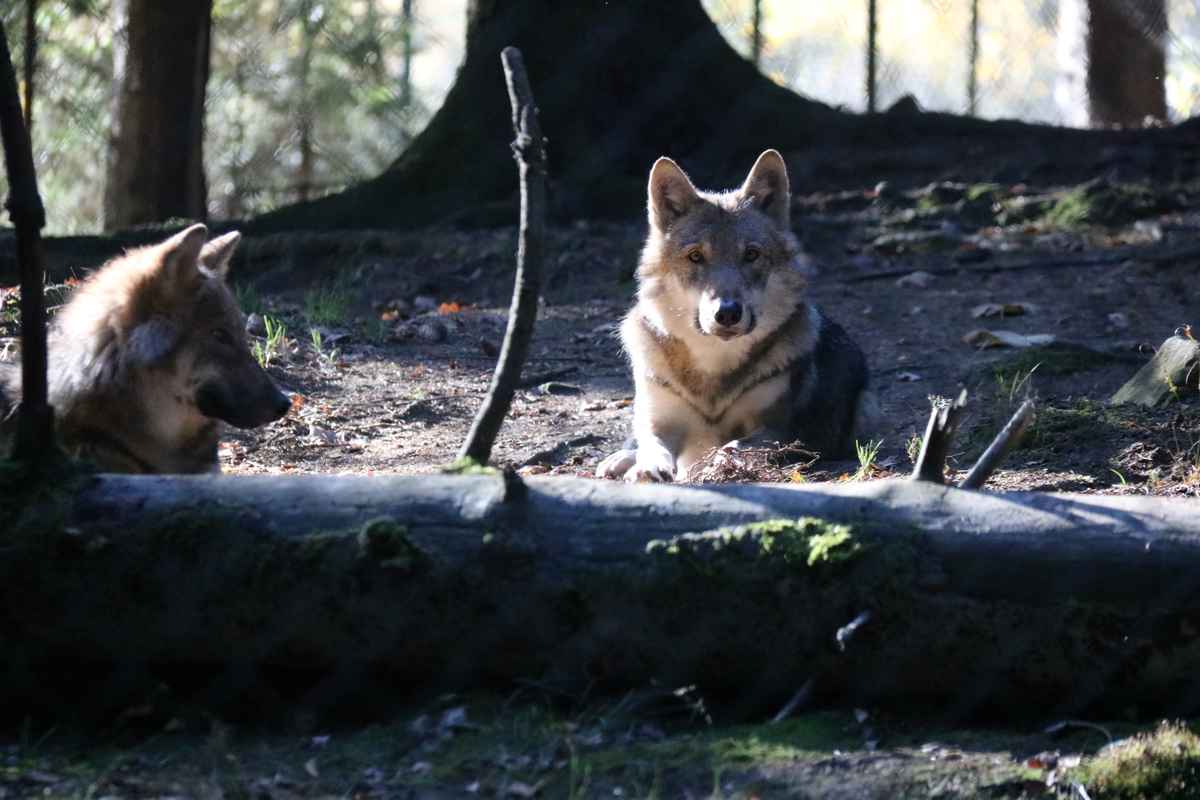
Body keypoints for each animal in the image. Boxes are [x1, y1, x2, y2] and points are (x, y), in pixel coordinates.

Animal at [597, 149, 879, 482]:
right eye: (695, 256)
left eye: (751, 255)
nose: (728, 313)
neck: (713, 369)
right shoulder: (659, 421)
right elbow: (651, 444)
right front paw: (648, 467)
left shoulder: (779, 429)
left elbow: (731, 446)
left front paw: (714, 465)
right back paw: (617, 461)